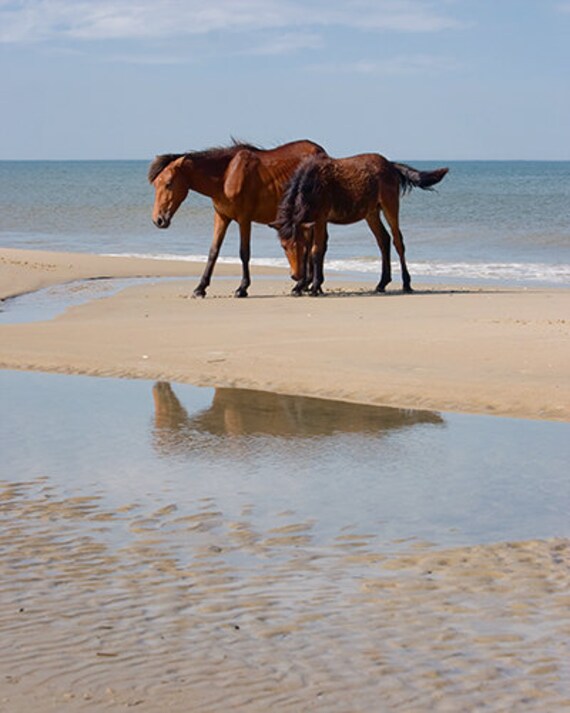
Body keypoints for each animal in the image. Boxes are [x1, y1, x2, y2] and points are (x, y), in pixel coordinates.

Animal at [148, 139, 326, 297]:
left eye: (169, 183)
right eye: (156, 184)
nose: (158, 220)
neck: (226, 175)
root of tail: (322, 153)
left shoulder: (244, 219)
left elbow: (244, 252)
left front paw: (242, 288)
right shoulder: (221, 217)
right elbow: (213, 252)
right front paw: (200, 288)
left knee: (317, 247)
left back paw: (309, 285)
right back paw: (305, 285)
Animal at [271, 153, 448, 295]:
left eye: (297, 245)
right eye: (283, 246)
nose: (295, 275)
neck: (311, 184)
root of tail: (391, 165)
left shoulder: (320, 219)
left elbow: (316, 251)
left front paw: (314, 286)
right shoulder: (310, 222)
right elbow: (312, 251)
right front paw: (302, 286)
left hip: (390, 206)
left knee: (398, 241)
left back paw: (406, 284)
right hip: (371, 213)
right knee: (384, 240)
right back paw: (382, 283)